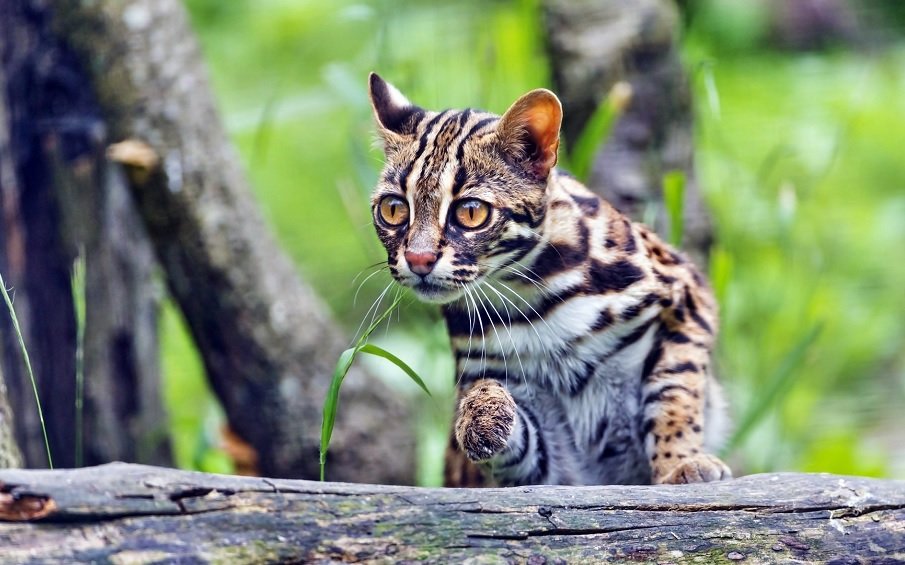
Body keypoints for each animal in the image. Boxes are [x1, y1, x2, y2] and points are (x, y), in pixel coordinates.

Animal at [364, 72, 732, 486]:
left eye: (471, 212)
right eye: (393, 209)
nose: (418, 259)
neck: (528, 296)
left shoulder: (687, 295)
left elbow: (674, 394)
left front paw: (680, 462)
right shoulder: (535, 443)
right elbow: (515, 439)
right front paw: (481, 414)